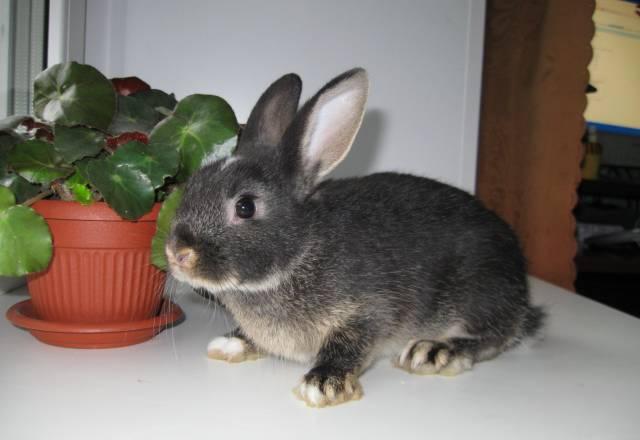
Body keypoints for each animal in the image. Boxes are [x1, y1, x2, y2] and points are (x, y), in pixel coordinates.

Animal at [165, 68, 545, 408]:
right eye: (192, 185)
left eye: (245, 206)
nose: (177, 253)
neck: (300, 253)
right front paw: (231, 344)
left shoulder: (368, 312)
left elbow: (348, 344)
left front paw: (322, 384)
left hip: (481, 291)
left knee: (492, 336)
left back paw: (435, 350)